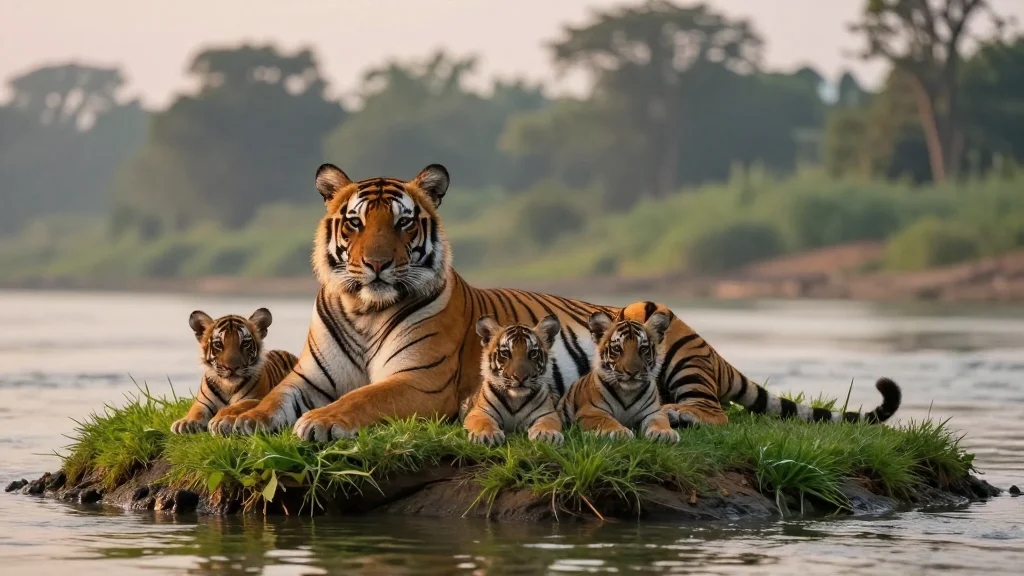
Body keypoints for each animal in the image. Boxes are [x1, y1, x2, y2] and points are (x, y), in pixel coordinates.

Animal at [171, 308, 298, 436]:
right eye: (218, 344)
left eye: (245, 344)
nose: (232, 367)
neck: (228, 387)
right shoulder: (202, 402)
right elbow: (196, 410)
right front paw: (185, 422)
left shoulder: (256, 398)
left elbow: (235, 407)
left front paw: (219, 421)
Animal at [460, 315, 564, 446]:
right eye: (505, 353)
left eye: (533, 353)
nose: (520, 377)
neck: (516, 400)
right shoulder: (479, 412)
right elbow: (483, 422)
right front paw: (487, 435)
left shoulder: (548, 414)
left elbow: (547, 423)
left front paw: (547, 434)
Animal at [559, 309, 678, 443]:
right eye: (617, 349)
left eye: (643, 349)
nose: (632, 372)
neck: (627, 393)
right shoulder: (591, 412)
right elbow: (607, 420)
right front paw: (619, 432)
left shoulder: (654, 412)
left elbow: (659, 421)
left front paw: (665, 433)